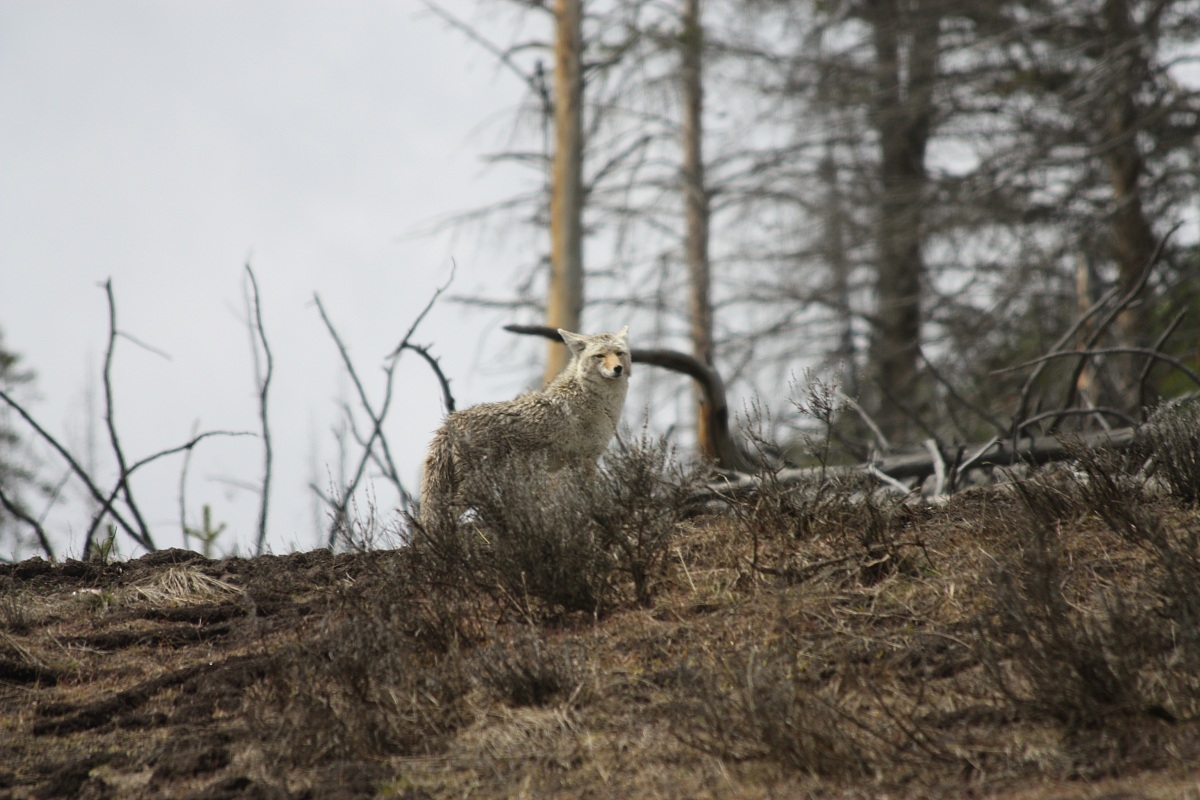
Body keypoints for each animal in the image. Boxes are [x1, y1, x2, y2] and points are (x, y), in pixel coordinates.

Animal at [419, 326, 631, 528]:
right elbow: (590, 497)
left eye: (619, 353)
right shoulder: (585, 461)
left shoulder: (576, 464)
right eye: (600, 356)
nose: (618, 369)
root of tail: (450, 422)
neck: (596, 399)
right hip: (474, 487)